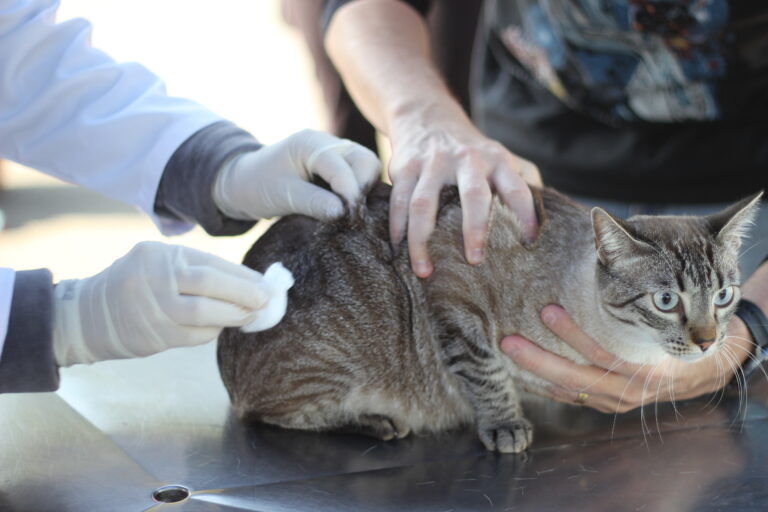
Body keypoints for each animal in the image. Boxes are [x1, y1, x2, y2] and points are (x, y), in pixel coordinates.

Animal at [216, 183, 760, 452]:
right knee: (263, 413)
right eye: (666, 301)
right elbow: (486, 371)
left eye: (723, 296)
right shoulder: (453, 294)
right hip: (332, 363)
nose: (708, 341)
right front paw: (505, 426)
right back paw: (377, 422)